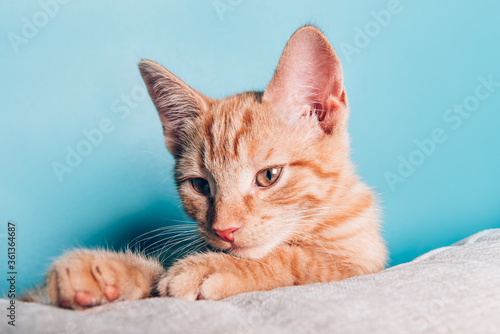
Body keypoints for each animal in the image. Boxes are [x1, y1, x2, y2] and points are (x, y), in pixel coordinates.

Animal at [27, 25, 386, 308]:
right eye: (200, 186)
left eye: (268, 176)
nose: (224, 230)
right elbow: (159, 275)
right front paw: (106, 271)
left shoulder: (361, 261)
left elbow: (300, 259)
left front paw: (220, 267)